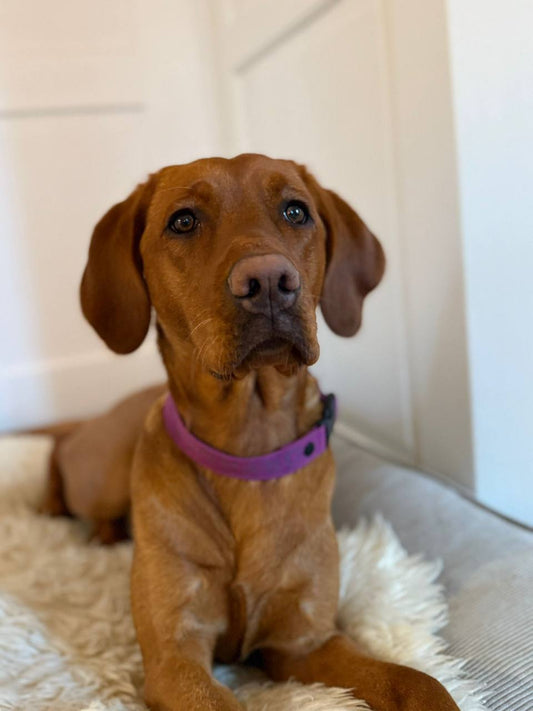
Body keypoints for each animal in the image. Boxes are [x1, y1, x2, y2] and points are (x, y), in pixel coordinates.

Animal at [43, 156, 458, 711]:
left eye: (296, 211)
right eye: (183, 221)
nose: (267, 280)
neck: (248, 445)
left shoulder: (303, 641)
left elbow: (415, 680)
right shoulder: (176, 655)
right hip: (102, 476)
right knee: (61, 453)